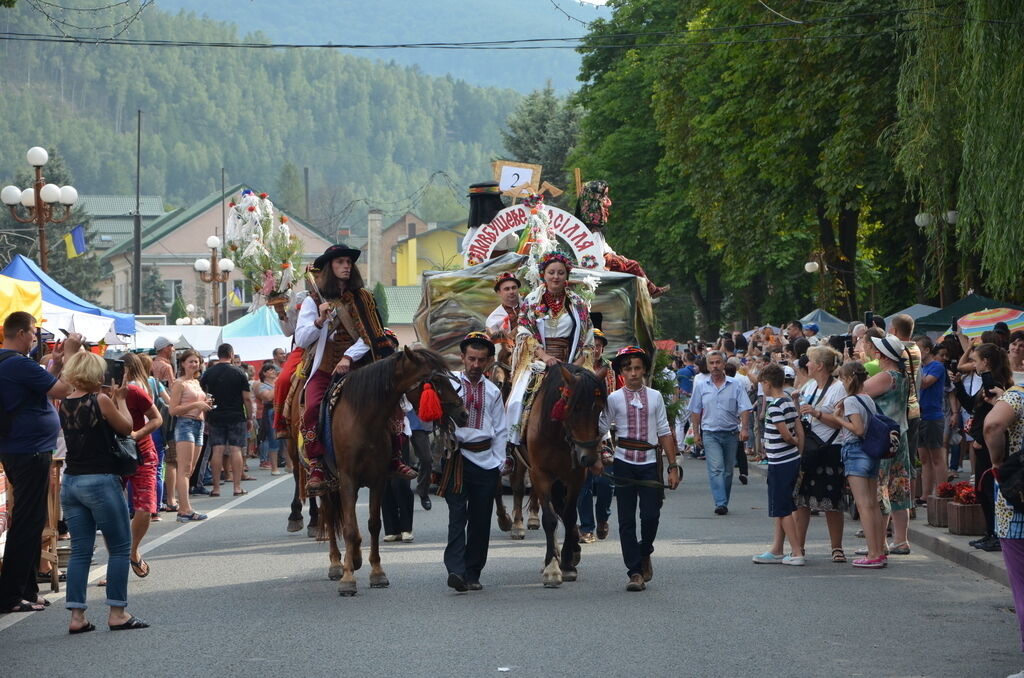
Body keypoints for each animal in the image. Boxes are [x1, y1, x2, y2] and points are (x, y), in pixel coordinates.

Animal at [319, 348, 468, 598]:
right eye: (435, 381)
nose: (463, 413)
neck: (364, 419)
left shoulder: (378, 479)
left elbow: (373, 524)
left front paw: (377, 572)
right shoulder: (347, 479)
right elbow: (348, 528)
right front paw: (348, 578)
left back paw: (355, 557)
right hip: (325, 481)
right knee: (330, 516)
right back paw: (336, 564)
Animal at [528, 360, 606, 589]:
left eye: (599, 408)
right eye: (575, 407)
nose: (589, 458)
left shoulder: (576, 475)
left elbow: (570, 515)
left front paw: (568, 564)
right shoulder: (539, 474)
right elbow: (550, 519)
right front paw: (552, 568)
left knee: (562, 510)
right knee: (555, 512)